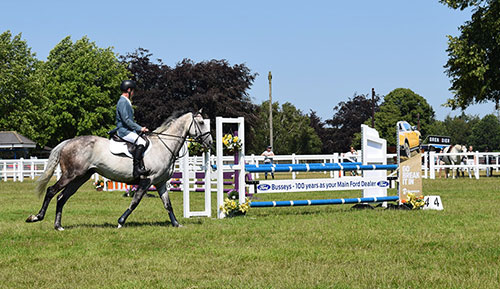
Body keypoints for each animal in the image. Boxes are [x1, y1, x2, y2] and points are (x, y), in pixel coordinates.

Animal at [25, 110, 211, 230]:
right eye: (201, 123)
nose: (210, 143)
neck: (164, 146)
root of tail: (68, 142)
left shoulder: (160, 183)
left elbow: (168, 205)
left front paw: (177, 224)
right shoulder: (147, 180)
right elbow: (135, 201)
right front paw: (121, 221)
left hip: (81, 177)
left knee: (62, 197)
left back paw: (58, 226)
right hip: (71, 175)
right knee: (51, 191)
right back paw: (36, 217)